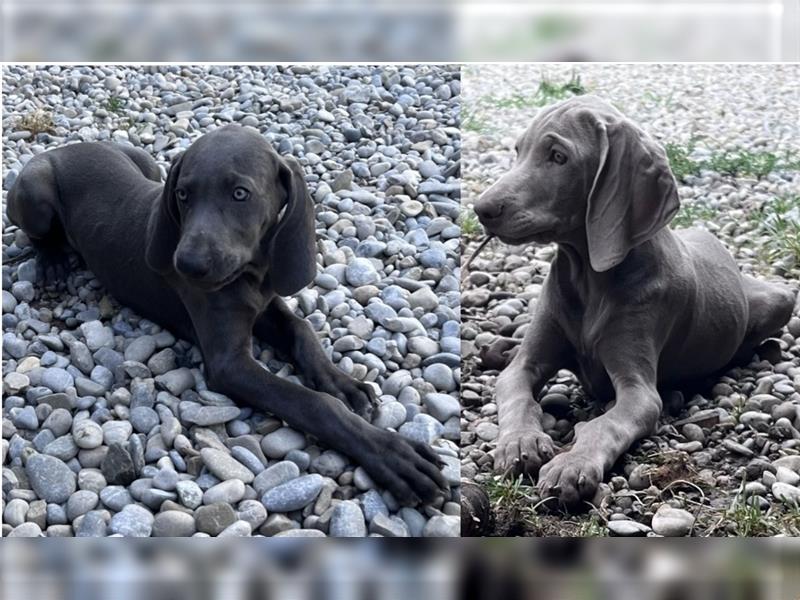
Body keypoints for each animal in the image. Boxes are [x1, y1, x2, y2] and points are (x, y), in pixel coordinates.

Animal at [7, 125, 450, 506]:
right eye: (183, 195)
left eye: (240, 193)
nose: (186, 265)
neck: (250, 273)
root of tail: (67, 147)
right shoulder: (229, 363)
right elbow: (313, 404)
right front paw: (392, 455)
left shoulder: (266, 303)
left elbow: (302, 330)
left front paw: (341, 383)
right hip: (35, 193)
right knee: (37, 234)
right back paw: (51, 263)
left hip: (147, 165)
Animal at [472, 95, 796, 506]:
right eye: (518, 151)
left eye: (559, 157)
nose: (482, 209)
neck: (588, 279)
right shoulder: (523, 366)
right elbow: (517, 397)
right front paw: (520, 443)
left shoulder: (638, 391)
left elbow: (602, 425)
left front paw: (571, 464)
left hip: (779, 297)